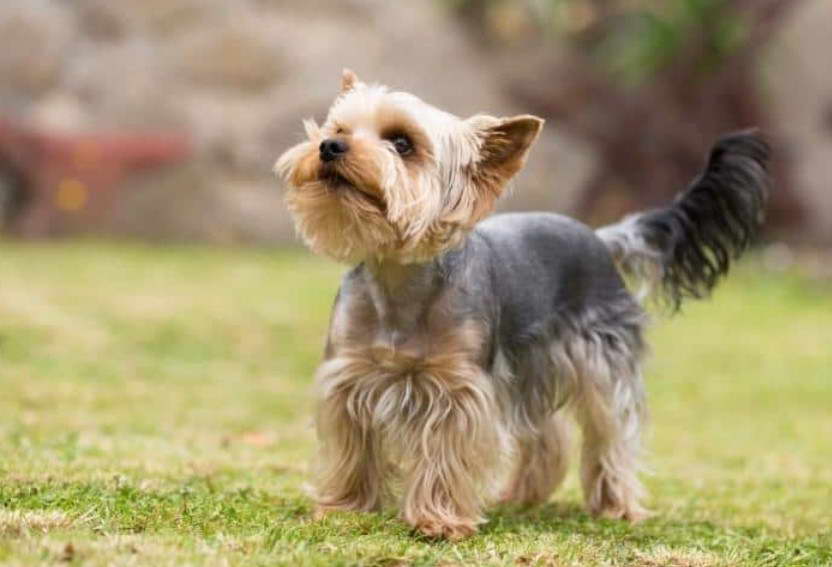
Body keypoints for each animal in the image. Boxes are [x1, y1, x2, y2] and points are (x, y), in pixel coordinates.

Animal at [276, 69, 772, 540]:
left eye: (402, 143)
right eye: (339, 127)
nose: (329, 146)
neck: (398, 277)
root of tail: (600, 236)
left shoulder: (458, 389)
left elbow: (445, 455)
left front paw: (439, 521)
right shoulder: (350, 377)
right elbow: (353, 449)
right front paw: (345, 507)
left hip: (600, 361)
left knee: (611, 433)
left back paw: (616, 504)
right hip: (532, 368)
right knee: (547, 433)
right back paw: (523, 494)